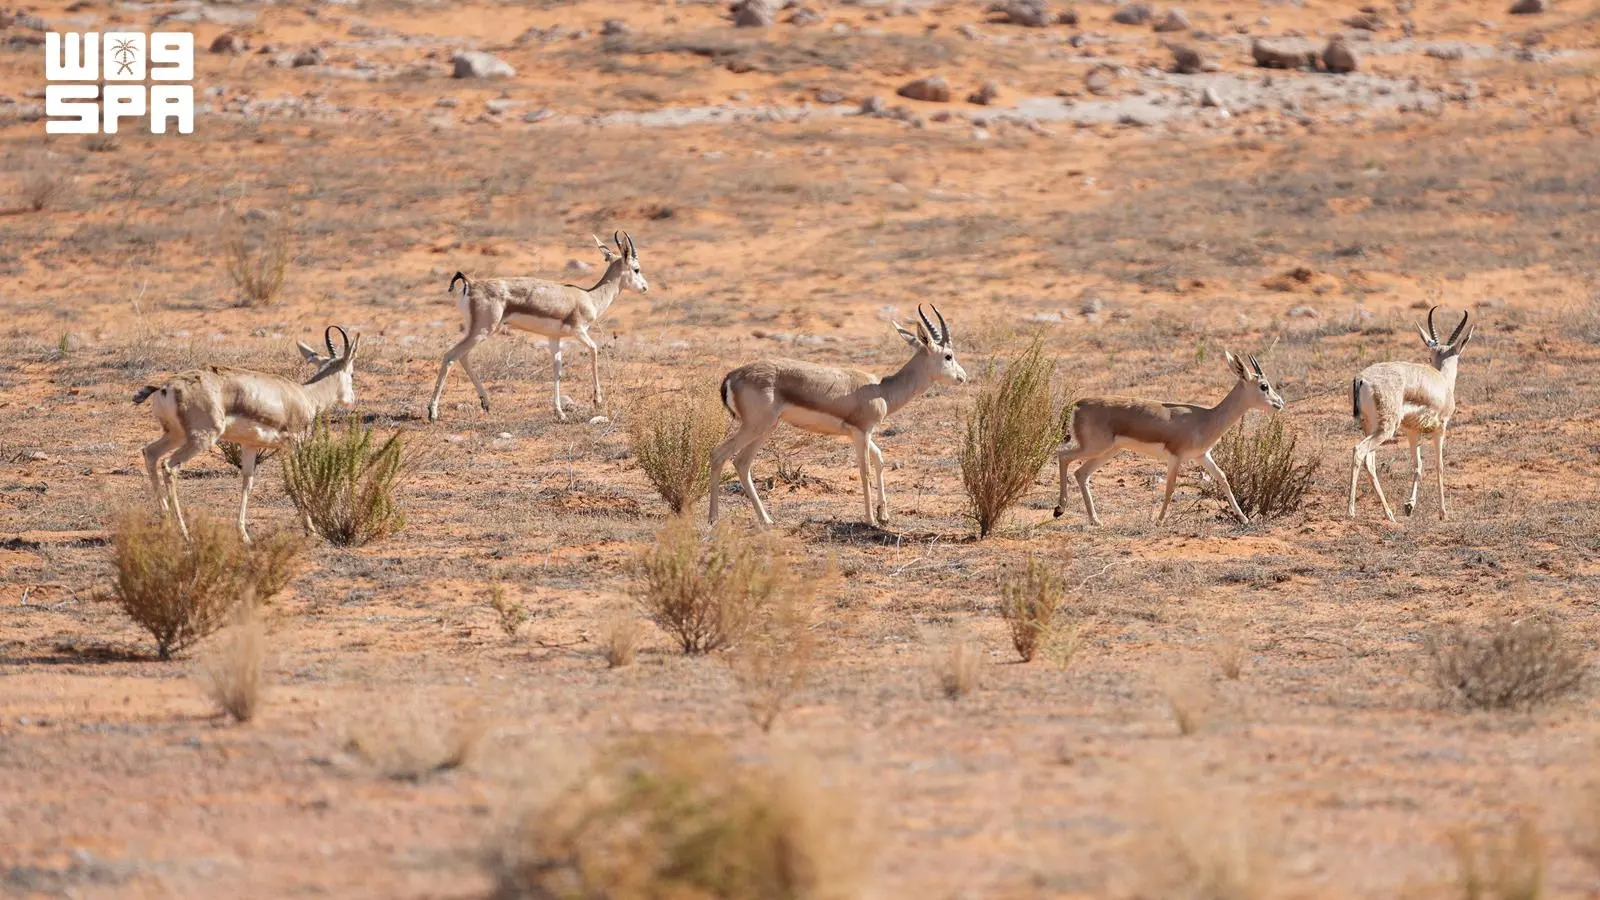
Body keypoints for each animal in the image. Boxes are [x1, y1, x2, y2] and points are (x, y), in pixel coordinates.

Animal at [132, 326, 361, 542]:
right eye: (352, 373)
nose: (351, 399)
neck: (306, 396)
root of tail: (165, 388)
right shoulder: (293, 445)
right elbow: (297, 481)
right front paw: (311, 531)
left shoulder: (250, 445)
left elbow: (246, 484)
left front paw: (243, 534)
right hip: (200, 439)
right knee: (169, 466)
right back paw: (184, 533)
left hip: (176, 435)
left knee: (150, 453)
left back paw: (166, 521)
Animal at [426, 231, 648, 423]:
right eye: (636, 269)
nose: (645, 287)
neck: (589, 297)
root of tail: (471, 283)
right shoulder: (580, 332)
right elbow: (594, 350)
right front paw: (597, 400)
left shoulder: (554, 337)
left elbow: (557, 371)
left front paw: (560, 413)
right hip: (482, 331)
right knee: (451, 356)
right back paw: (433, 412)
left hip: (478, 331)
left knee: (462, 357)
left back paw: (486, 404)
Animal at [710, 305, 967, 528]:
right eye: (948, 356)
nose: (963, 377)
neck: (882, 390)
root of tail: (731, 376)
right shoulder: (861, 432)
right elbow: (865, 471)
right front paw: (870, 520)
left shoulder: (863, 432)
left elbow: (879, 459)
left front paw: (883, 515)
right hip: (755, 427)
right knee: (719, 454)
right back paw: (713, 519)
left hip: (767, 428)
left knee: (741, 463)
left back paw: (765, 519)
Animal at [1053, 351, 1284, 526]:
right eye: (1264, 386)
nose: (1280, 403)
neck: (1206, 419)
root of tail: (1079, 403)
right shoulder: (1176, 457)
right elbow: (1170, 488)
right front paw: (1160, 520)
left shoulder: (1202, 456)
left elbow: (1223, 478)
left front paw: (1244, 518)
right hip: (1094, 447)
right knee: (1063, 456)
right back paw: (1059, 509)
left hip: (1108, 451)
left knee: (1081, 473)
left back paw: (1094, 520)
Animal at [1349, 306, 1474, 521]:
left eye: (1430, 356)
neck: (1442, 382)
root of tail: (1362, 378)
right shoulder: (1440, 428)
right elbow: (1439, 465)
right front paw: (1443, 513)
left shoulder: (1412, 431)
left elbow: (1418, 465)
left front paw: (1409, 506)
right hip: (1385, 430)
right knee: (1359, 451)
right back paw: (1351, 512)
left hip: (1370, 427)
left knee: (1370, 461)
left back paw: (1389, 513)